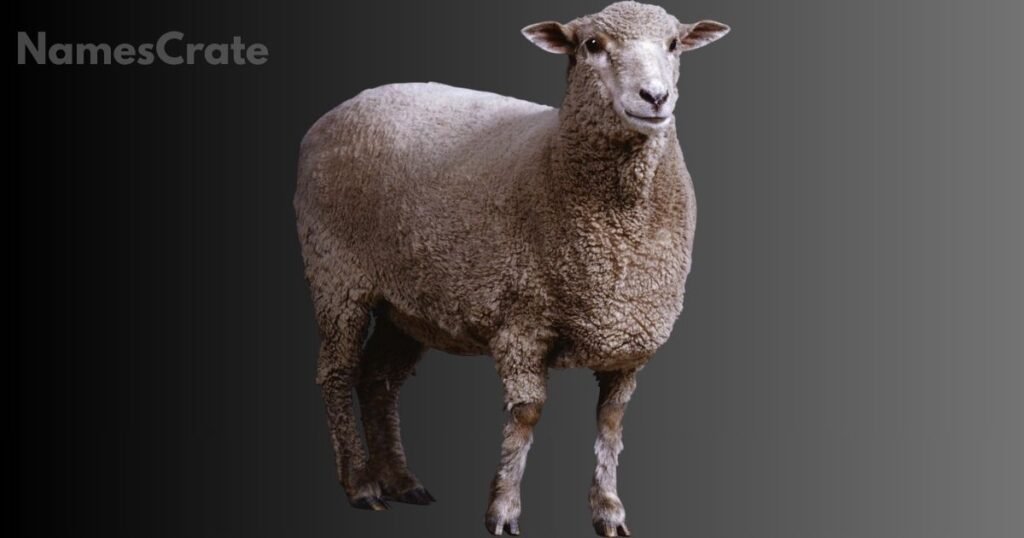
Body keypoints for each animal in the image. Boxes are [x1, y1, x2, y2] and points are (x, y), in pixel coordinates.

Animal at [294, 2, 729, 535]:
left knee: (379, 381)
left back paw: (402, 481)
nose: (655, 97)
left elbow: (611, 424)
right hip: (336, 275)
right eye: (592, 45)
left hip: (408, 302)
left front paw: (609, 510)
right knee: (337, 373)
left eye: (673, 45)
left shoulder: (629, 338)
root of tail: (339, 110)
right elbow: (526, 415)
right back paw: (361, 486)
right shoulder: (522, 320)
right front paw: (503, 509)